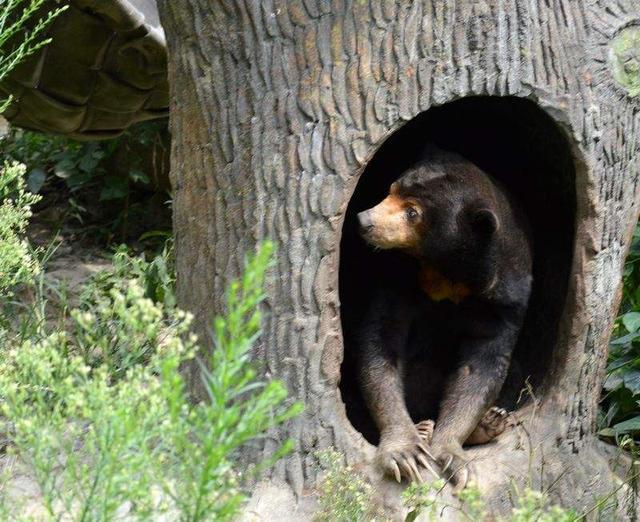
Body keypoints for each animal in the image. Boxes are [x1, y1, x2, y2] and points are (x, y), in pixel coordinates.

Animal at [352, 144, 532, 486]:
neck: (445, 272)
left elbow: (481, 368)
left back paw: (490, 422)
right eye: (391, 189)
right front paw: (405, 452)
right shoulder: (396, 278)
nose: (364, 219)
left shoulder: (506, 296)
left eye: (413, 213)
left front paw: (454, 457)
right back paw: (424, 426)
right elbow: (380, 343)